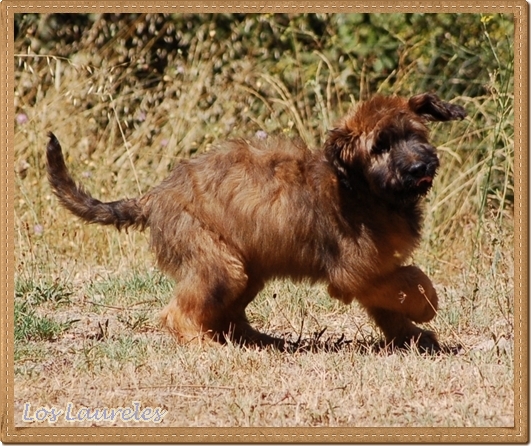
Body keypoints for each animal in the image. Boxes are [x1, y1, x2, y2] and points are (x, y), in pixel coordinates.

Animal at [47, 93, 468, 352]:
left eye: (414, 134)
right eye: (380, 146)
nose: (420, 167)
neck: (362, 187)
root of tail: (154, 196)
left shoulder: (375, 269)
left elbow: (393, 302)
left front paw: (413, 336)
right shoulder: (358, 271)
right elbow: (413, 281)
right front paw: (425, 309)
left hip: (246, 270)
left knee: (227, 316)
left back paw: (261, 341)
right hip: (219, 265)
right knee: (179, 313)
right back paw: (203, 344)